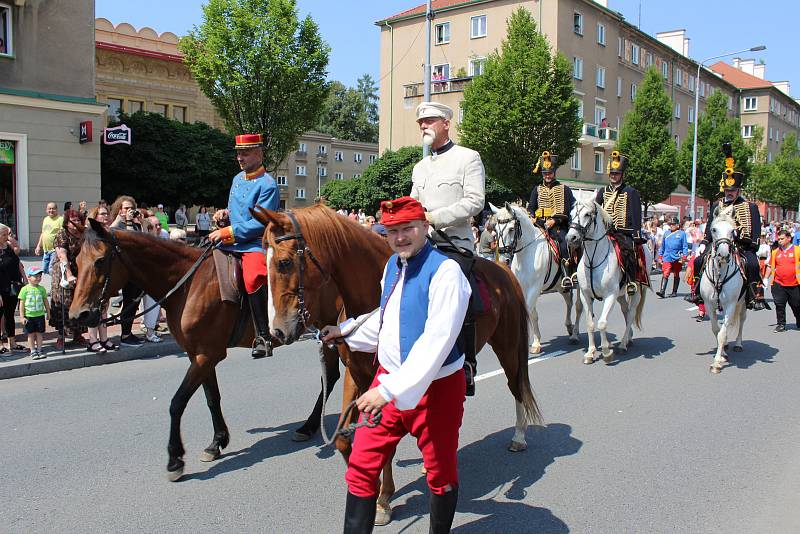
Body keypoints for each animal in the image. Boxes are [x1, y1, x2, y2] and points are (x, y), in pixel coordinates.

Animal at [70, 220, 352, 484]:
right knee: (331, 376)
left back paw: (311, 425)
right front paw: (217, 442)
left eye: (100, 260)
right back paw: (311, 426)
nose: (78, 315)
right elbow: (211, 397)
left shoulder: (207, 355)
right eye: (76, 261)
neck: (188, 285)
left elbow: (177, 402)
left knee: (330, 376)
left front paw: (175, 459)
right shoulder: (199, 354)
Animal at [488, 205, 580, 356]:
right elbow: (533, 315)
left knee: (578, 306)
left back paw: (575, 335)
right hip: (561, 287)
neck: (526, 254)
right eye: (495, 229)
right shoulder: (524, 288)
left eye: (511, 229)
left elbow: (528, 312)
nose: (503, 260)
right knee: (569, 302)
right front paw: (536, 343)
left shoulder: (535, 288)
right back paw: (570, 327)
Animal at [564, 199, 652, 366]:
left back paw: (623, 344)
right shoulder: (586, 295)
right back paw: (628, 338)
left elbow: (602, 323)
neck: (593, 260)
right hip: (620, 294)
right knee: (625, 310)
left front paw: (606, 352)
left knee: (631, 313)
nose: (571, 238)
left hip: (636, 291)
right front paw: (590, 353)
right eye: (571, 214)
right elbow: (590, 323)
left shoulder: (610, 295)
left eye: (587, 214)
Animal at [696, 211, 748, 374]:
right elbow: (716, 330)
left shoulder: (731, 304)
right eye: (713, 229)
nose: (723, 255)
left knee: (741, 320)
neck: (719, 273)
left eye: (733, 231)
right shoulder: (708, 303)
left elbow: (723, 333)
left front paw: (717, 363)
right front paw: (722, 353)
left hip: (742, 302)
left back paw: (738, 344)